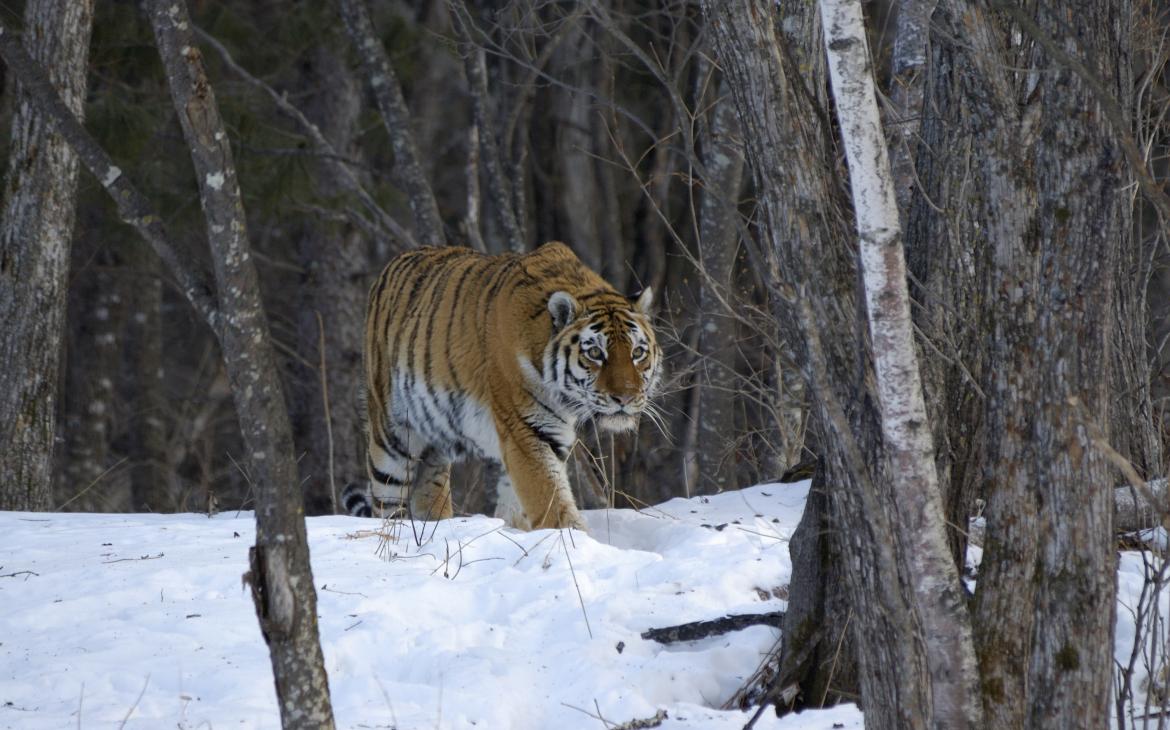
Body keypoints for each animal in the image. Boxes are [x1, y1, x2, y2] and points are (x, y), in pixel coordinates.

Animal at [341, 242, 660, 531]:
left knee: (428, 494)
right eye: (595, 353)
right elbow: (550, 501)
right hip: (391, 439)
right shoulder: (526, 429)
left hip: (433, 443)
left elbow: (520, 505)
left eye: (637, 353)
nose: (625, 398)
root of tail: (393, 263)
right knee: (387, 505)